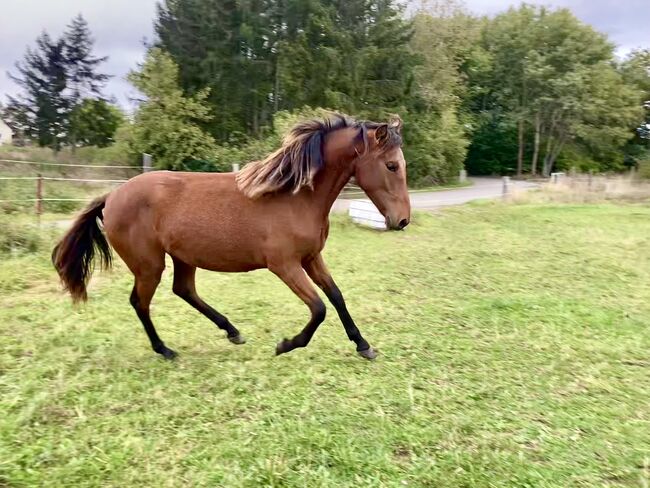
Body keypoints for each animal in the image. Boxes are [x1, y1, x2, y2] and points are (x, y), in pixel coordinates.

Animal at [54, 113, 410, 358]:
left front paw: (363, 345)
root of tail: (111, 197)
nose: (403, 220)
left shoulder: (311, 257)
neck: (296, 197)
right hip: (148, 265)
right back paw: (165, 350)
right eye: (391, 166)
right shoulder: (284, 265)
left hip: (183, 257)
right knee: (140, 302)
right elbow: (319, 308)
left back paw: (232, 331)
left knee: (184, 290)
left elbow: (336, 296)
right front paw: (286, 345)